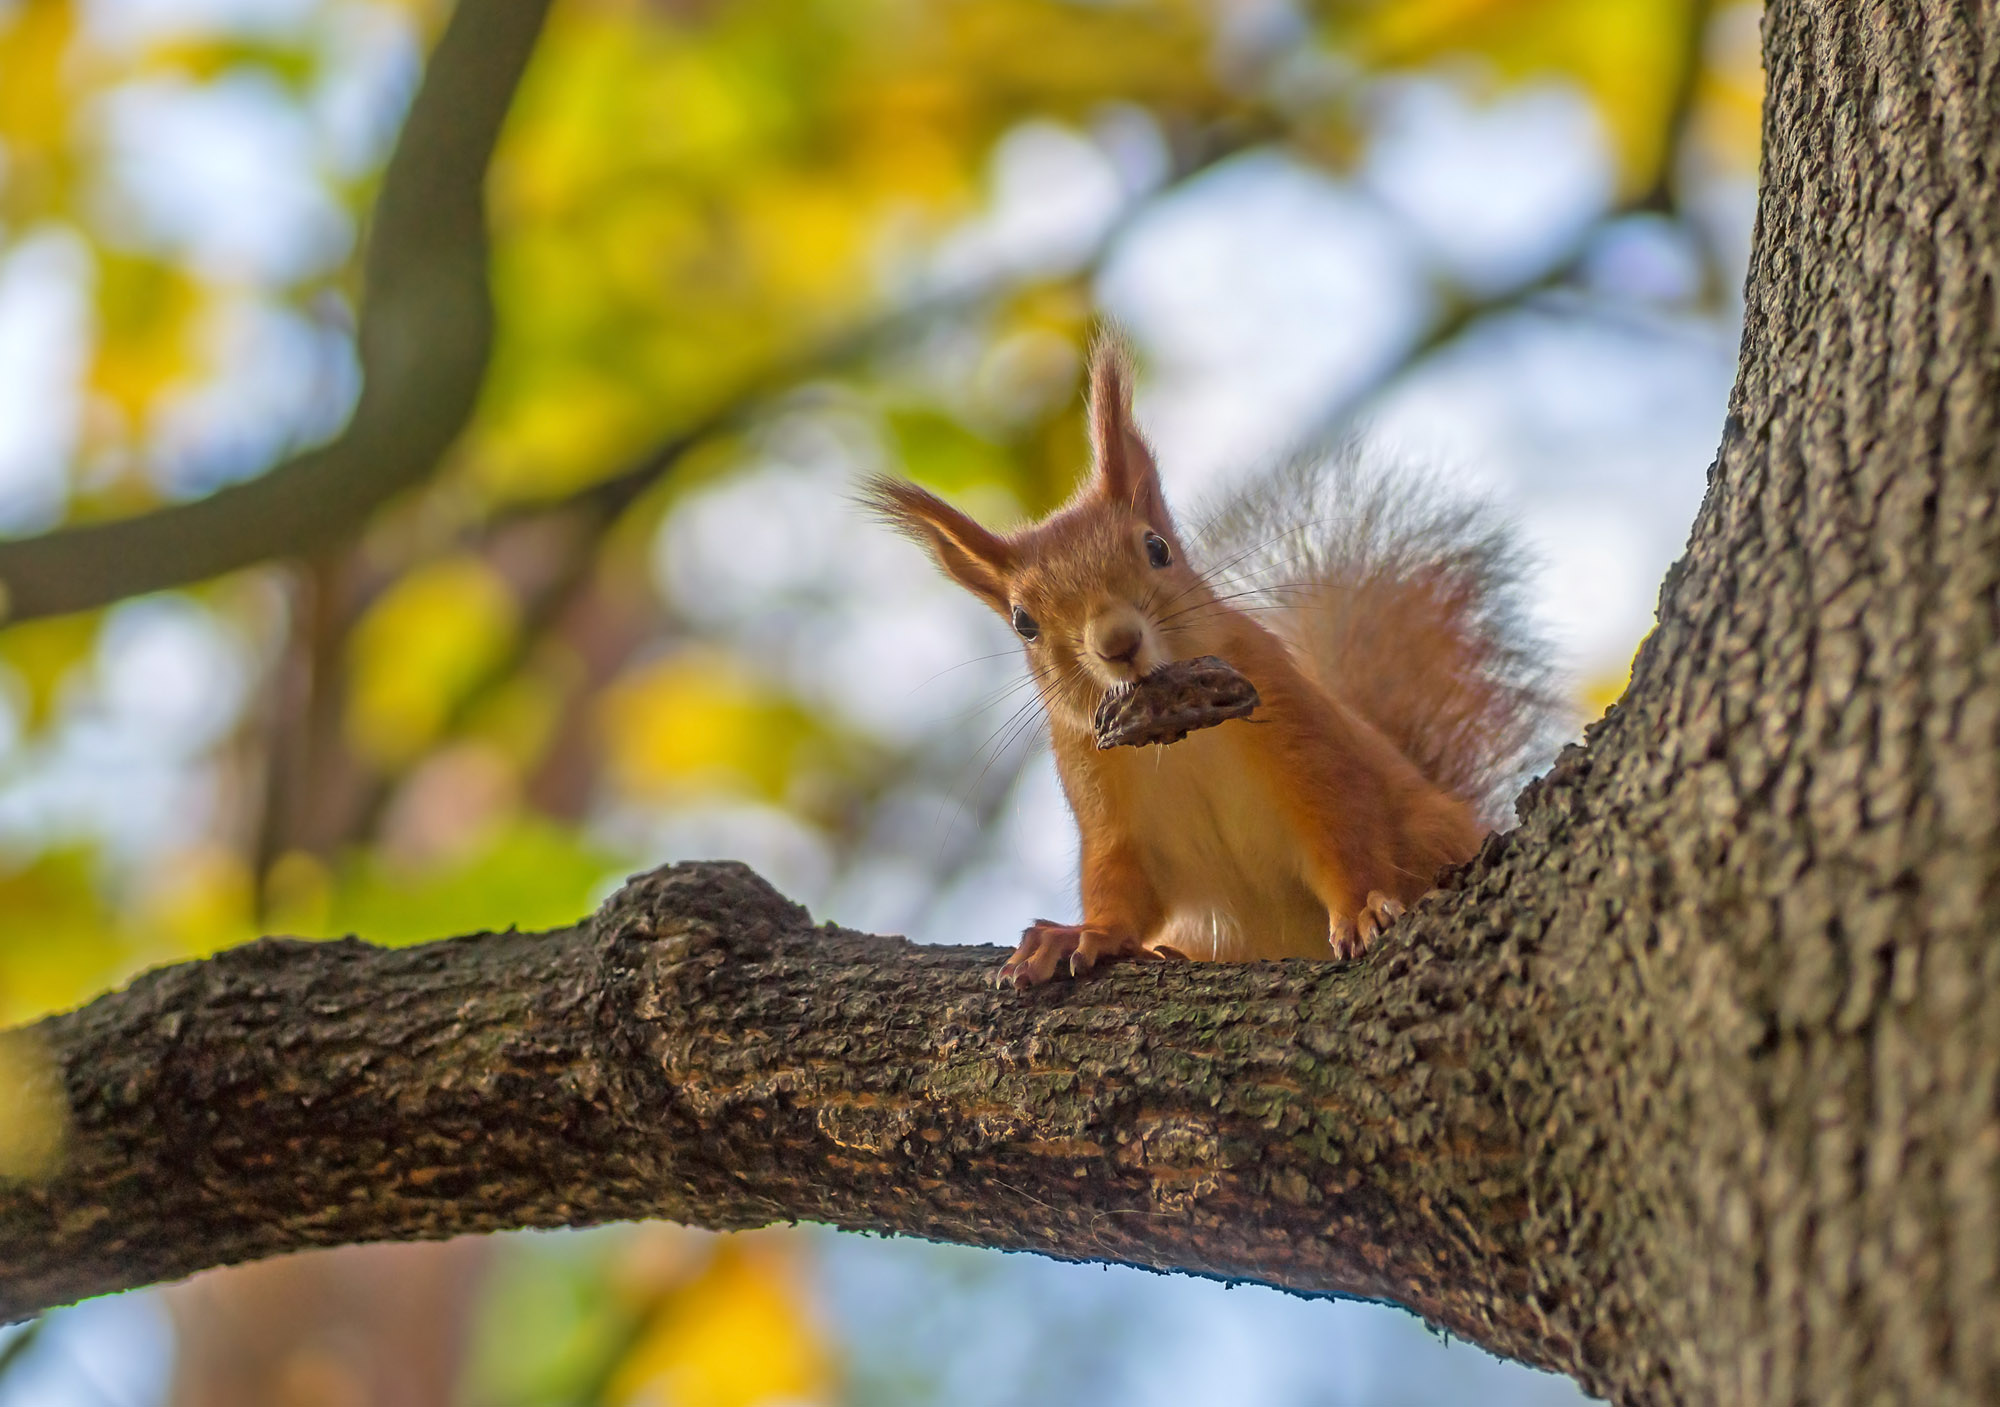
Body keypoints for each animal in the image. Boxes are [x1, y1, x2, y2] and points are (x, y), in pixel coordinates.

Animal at [868, 335, 1552, 983]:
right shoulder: (1103, 800)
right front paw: (1080, 935)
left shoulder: (1306, 739)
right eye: (1023, 622)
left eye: (1157, 548)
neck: (1178, 736)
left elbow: (1346, 832)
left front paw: (1360, 909)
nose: (1117, 643)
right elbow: (1118, 887)